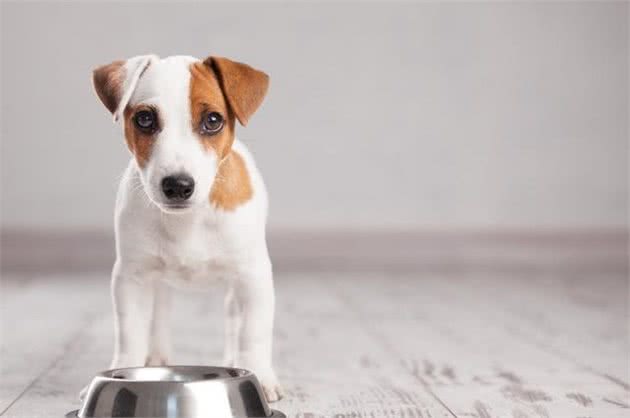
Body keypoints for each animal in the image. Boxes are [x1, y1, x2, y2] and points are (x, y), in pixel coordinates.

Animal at [90, 54, 282, 400]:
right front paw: (123, 369)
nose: (178, 186)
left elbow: (253, 332)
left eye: (213, 120)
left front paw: (259, 376)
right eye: (144, 119)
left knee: (233, 319)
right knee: (160, 313)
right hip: (157, 281)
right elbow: (130, 333)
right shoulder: (131, 278)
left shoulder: (254, 276)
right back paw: (157, 356)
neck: (188, 221)